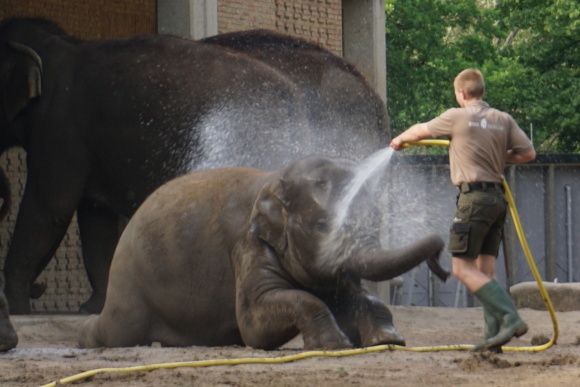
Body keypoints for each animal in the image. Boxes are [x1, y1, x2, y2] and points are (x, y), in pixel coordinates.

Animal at [0, 17, 390, 352]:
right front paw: (90, 305)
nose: (38, 290)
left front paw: (19, 304)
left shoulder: (58, 125)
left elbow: (50, 207)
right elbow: (95, 217)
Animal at [79, 156, 446, 350]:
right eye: (324, 226)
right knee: (121, 329)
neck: (274, 180)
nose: (441, 262)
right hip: (128, 275)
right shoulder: (247, 244)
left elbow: (351, 297)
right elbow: (256, 323)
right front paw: (334, 346)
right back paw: (85, 337)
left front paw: (388, 340)